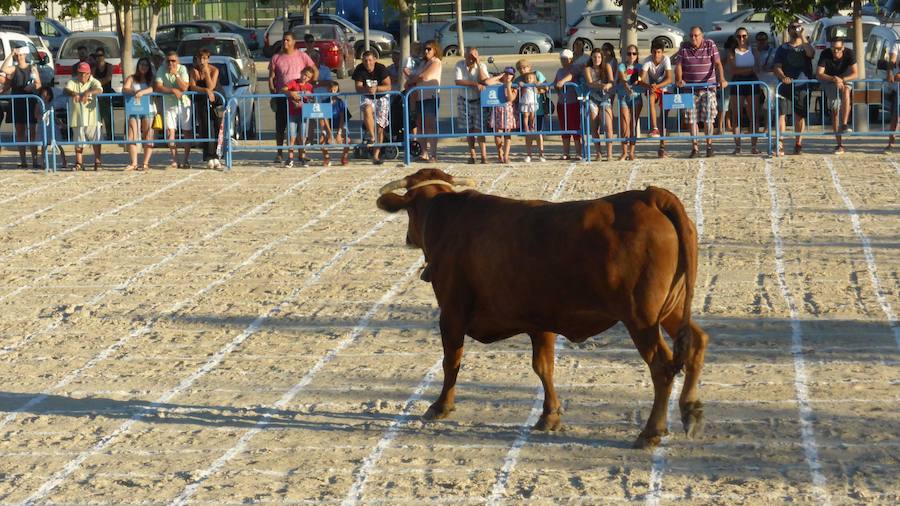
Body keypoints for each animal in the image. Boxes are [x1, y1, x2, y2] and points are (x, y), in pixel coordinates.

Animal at [376, 168, 708, 448]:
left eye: (410, 212)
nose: (408, 237)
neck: (448, 218)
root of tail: (650, 196)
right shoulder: (541, 322)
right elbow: (543, 367)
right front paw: (549, 416)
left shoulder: (452, 313)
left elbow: (451, 361)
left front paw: (441, 405)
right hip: (671, 310)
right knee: (696, 342)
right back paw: (691, 409)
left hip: (641, 318)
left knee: (661, 367)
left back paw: (651, 431)